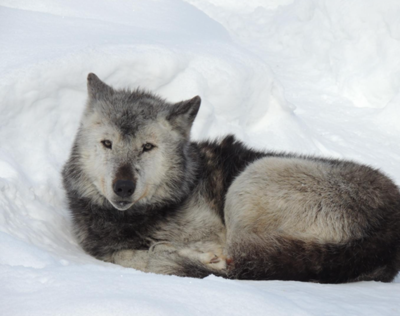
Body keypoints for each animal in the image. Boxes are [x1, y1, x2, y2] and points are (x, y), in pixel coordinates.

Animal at [61, 74, 400, 284]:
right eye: (107, 143)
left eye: (147, 147)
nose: (123, 187)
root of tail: (385, 232)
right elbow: (116, 253)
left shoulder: (213, 233)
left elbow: (126, 255)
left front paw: (164, 252)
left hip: (250, 179)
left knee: (235, 263)